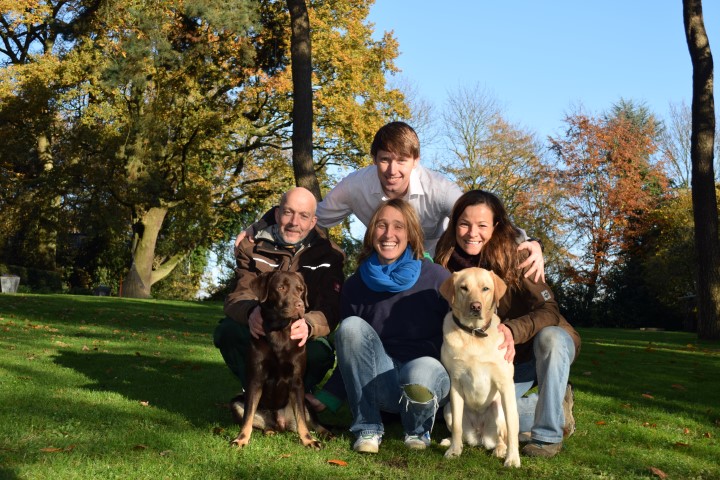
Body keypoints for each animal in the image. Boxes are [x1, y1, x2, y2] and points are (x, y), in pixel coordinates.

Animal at [230, 271, 326, 449]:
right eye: (281, 288)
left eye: (301, 289)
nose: (300, 305)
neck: (279, 332)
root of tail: (282, 423)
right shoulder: (255, 380)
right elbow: (247, 416)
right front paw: (241, 439)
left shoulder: (297, 382)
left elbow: (302, 419)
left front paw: (308, 440)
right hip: (236, 403)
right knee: (262, 422)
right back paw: (269, 431)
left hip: (306, 402)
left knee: (314, 423)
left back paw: (326, 434)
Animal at [439, 267, 520, 467]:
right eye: (463, 288)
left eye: (485, 288)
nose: (475, 306)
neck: (474, 334)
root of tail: (479, 435)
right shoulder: (455, 384)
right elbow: (457, 427)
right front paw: (454, 451)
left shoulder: (506, 385)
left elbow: (512, 428)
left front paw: (513, 458)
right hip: (447, 409)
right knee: (459, 431)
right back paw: (450, 442)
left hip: (498, 409)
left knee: (502, 437)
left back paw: (501, 450)